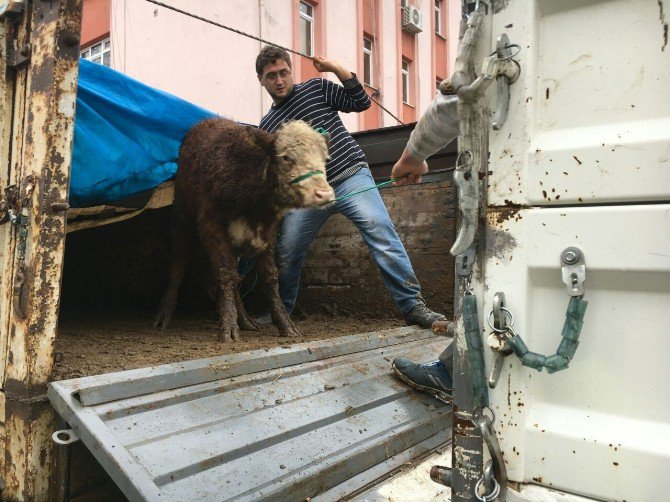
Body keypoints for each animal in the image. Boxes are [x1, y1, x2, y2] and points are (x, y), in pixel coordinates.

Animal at [156, 118, 336, 342]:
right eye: (286, 157)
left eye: (324, 158)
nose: (324, 194)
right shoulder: (212, 227)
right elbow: (225, 274)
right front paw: (228, 329)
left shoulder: (267, 233)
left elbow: (269, 276)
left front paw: (285, 325)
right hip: (181, 219)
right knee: (179, 265)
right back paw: (164, 316)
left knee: (236, 277)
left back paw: (245, 320)